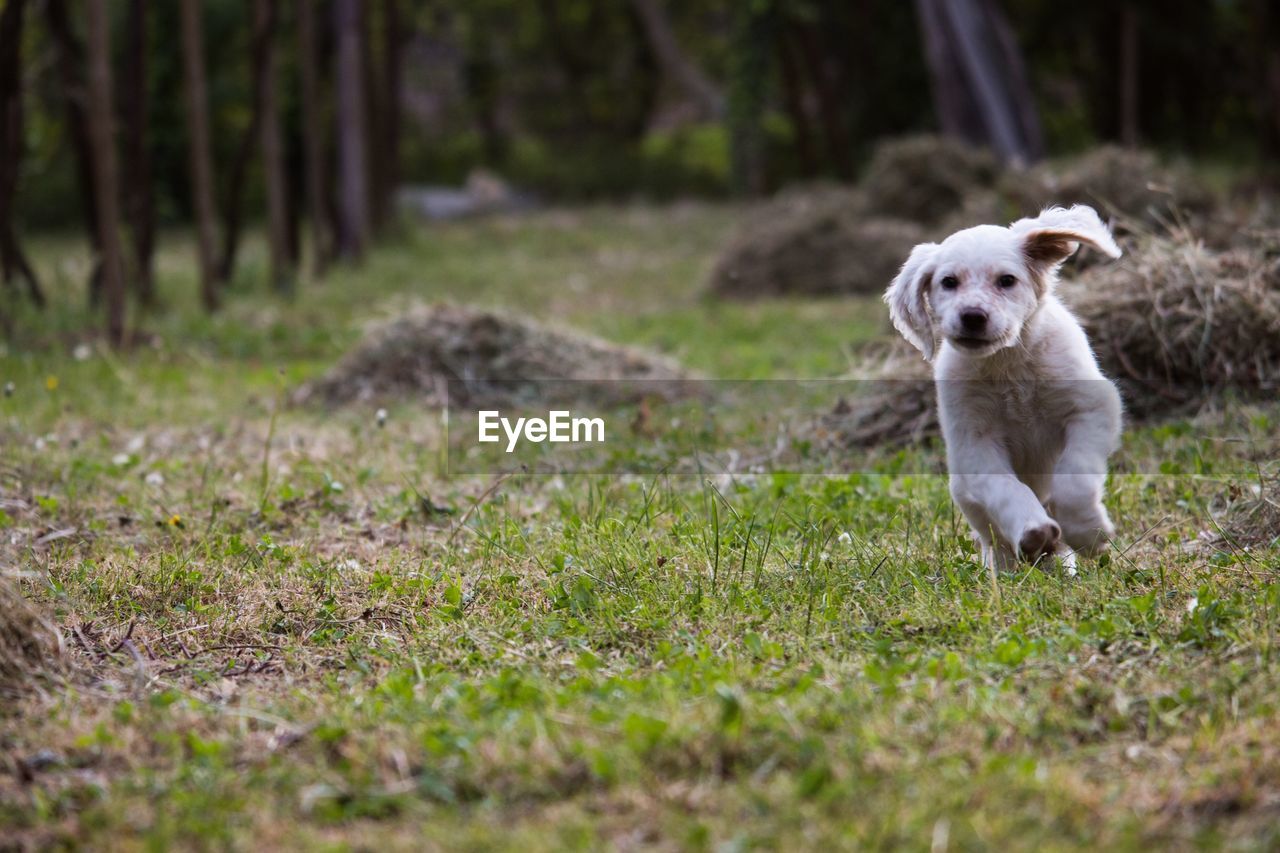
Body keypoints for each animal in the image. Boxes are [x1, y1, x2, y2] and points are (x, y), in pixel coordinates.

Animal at [885, 202, 1126, 568]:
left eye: (1007, 280)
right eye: (948, 282)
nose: (972, 316)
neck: (1008, 365)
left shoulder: (1093, 408)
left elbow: (1075, 476)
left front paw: (1087, 532)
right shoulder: (973, 444)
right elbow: (1005, 488)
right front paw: (1033, 531)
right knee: (996, 542)